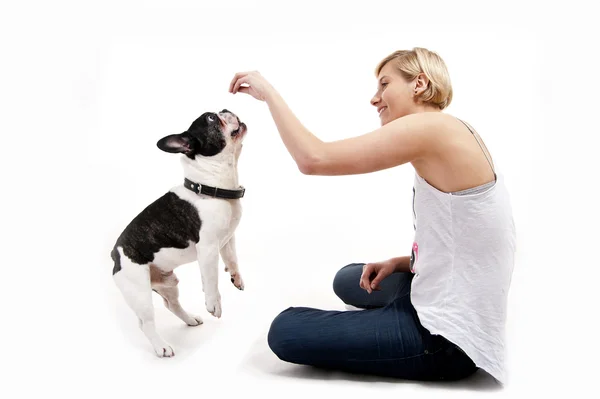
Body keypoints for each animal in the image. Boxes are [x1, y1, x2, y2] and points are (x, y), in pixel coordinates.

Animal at [112, 110, 246, 360]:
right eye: (211, 118)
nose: (225, 110)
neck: (210, 185)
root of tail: (115, 255)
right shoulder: (208, 248)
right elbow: (211, 279)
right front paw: (214, 304)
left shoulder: (227, 239)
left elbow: (232, 259)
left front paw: (236, 277)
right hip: (139, 292)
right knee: (146, 323)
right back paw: (161, 346)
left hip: (168, 283)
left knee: (171, 304)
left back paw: (190, 319)